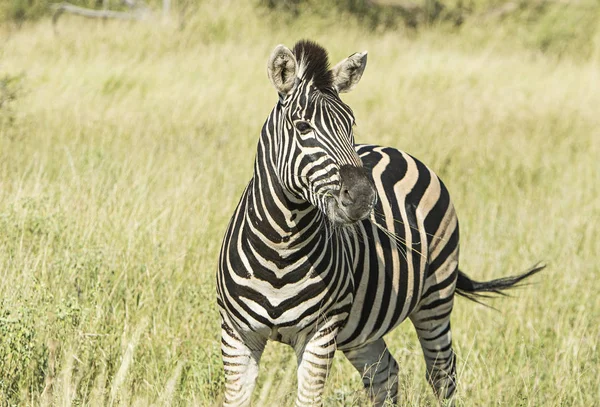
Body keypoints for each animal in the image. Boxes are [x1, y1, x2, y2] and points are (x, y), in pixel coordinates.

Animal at [217, 39, 544, 407]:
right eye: (302, 127)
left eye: (350, 124)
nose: (362, 197)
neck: (281, 246)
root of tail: (393, 149)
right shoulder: (236, 335)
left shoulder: (320, 334)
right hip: (360, 328)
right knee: (385, 374)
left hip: (436, 298)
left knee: (442, 372)